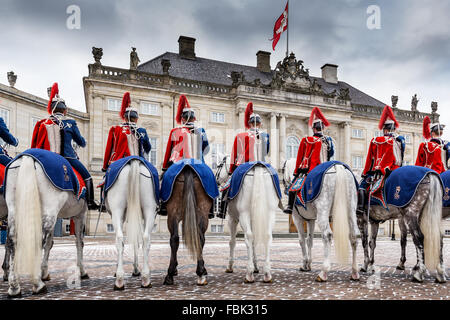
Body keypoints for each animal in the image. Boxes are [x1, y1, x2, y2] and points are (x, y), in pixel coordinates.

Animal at [4, 155, 88, 298]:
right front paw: (81, 271)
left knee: (12, 242)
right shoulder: (79, 216)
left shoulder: (56, 216)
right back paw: (37, 284)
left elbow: (49, 243)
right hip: (49, 209)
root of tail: (27, 156)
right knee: (37, 241)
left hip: (14, 211)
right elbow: (79, 243)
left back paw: (14, 287)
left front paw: (44, 272)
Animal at [104, 158, 158, 290]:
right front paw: (136, 269)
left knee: (119, 239)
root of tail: (134, 160)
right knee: (145, 239)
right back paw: (145, 278)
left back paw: (119, 280)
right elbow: (137, 242)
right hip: (149, 210)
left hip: (117, 211)